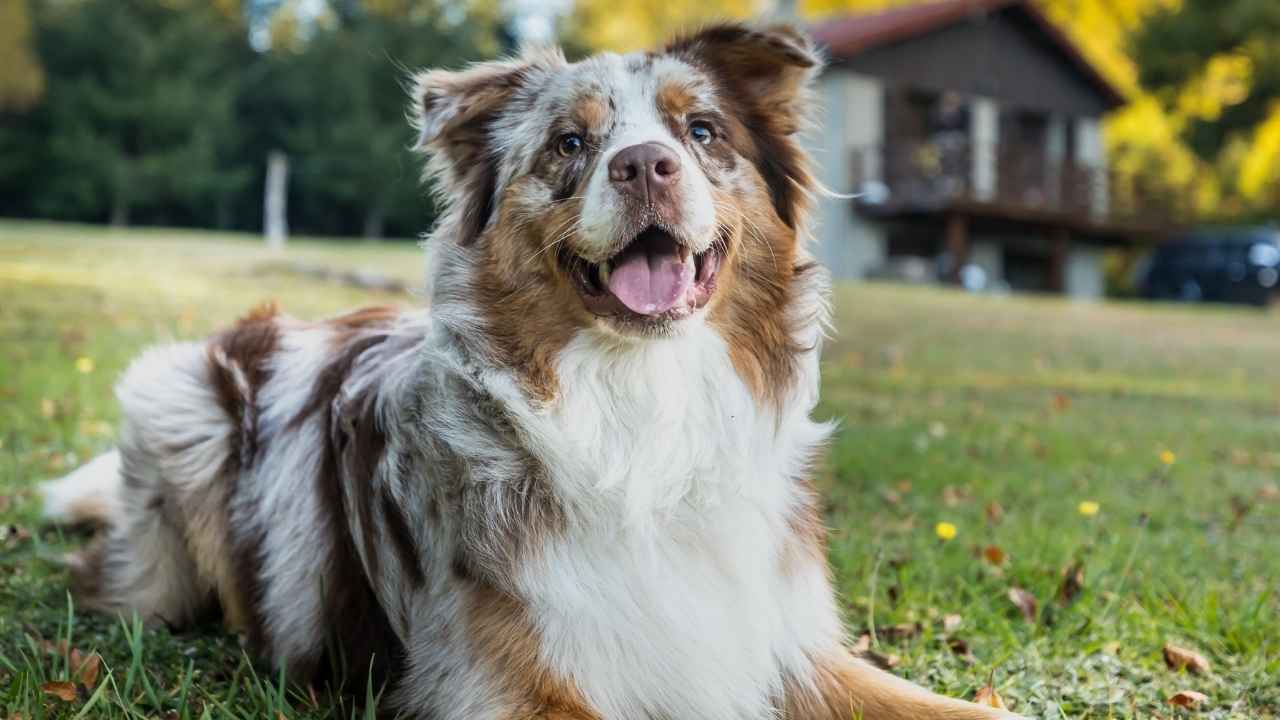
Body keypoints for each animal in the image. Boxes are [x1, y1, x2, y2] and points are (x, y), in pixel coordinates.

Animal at [42, 23, 1018, 717]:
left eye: (701, 131)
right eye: (570, 144)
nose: (646, 163)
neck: (645, 407)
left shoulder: (786, 647)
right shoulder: (501, 684)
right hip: (176, 428)